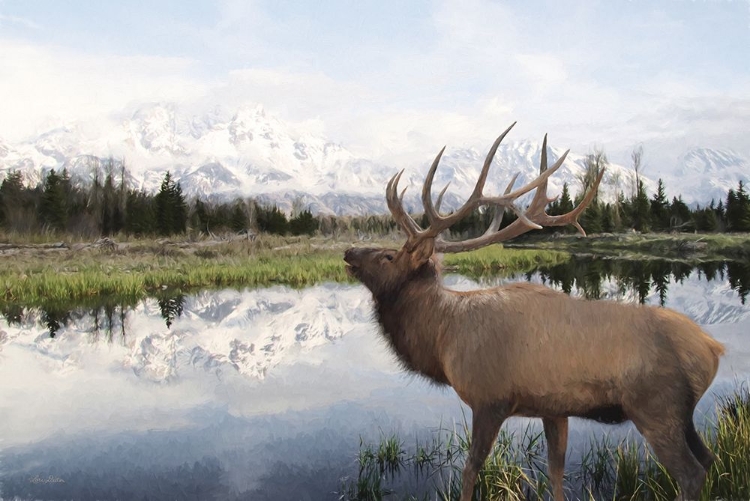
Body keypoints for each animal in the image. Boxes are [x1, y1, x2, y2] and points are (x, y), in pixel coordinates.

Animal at [344, 122, 724, 500]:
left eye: (388, 256)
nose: (348, 251)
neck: (443, 339)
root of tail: (713, 349)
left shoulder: (489, 399)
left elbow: (470, 470)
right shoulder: (554, 409)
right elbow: (556, 471)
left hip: (656, 406)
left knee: (690, 472)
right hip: (683, 414)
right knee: (708, 458)